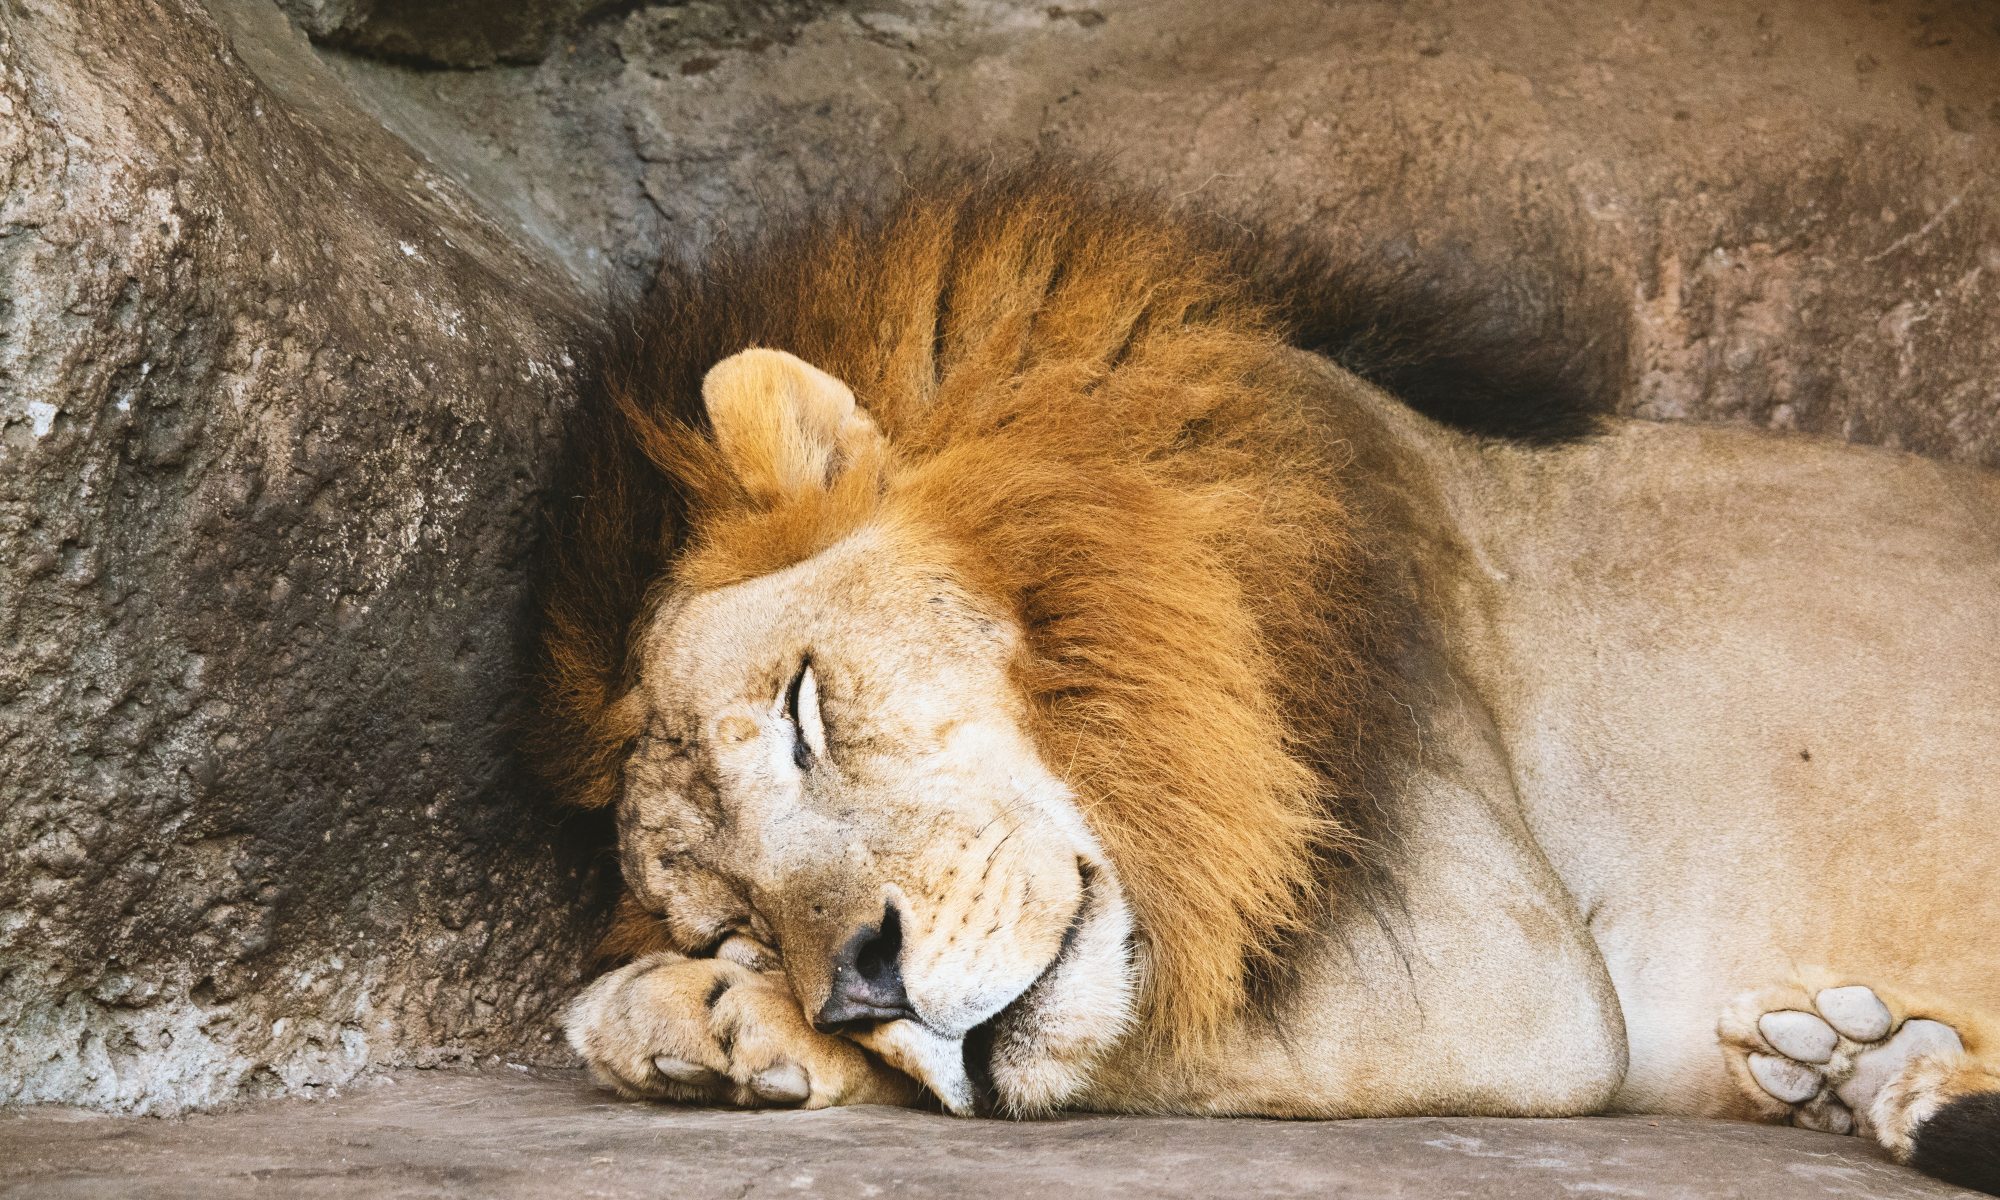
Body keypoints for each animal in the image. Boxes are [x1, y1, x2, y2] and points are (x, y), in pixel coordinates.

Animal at [532, 163, 2000, 1194]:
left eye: (804, 714)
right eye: (729, 918)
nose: (861, 990)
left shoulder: (1501, 974)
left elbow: (1124, 1033)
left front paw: (683, 1017)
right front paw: (725, 1018)